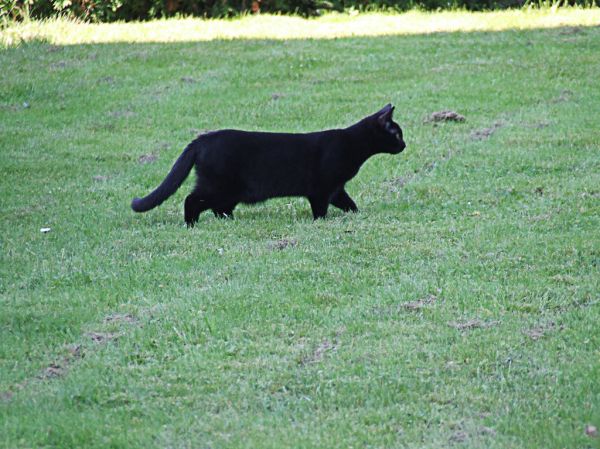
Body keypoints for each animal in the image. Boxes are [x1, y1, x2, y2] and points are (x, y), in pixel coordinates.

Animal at [130, 103, 404, 226]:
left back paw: (227, 222)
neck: (352, 144)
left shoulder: (336, 189)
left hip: (228, 193)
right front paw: (321, 223)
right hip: (218, 186)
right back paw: (190, 224)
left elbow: (350, 204)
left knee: (218, 209)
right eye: (397, 134)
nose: (405, 145)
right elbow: (320, 210)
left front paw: (356, 215)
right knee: (191, 200)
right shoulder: (321, 190)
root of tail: (201, 139)